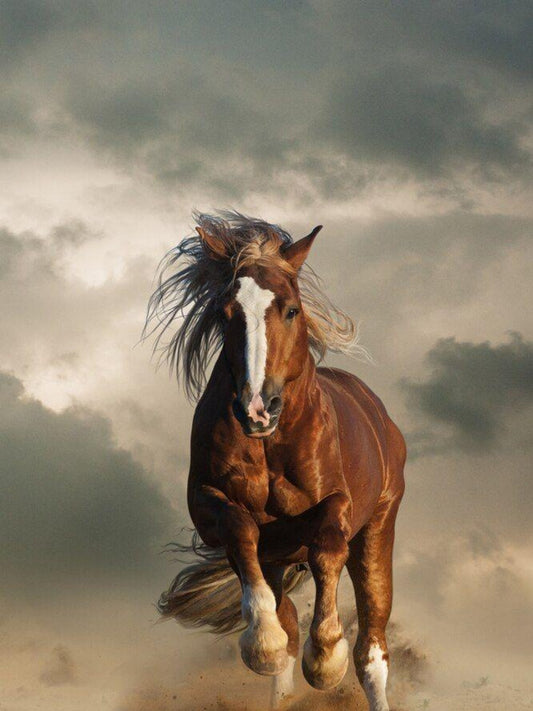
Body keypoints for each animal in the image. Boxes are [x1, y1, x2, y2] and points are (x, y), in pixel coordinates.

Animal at [146, 211, 406, 711]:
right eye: (225, 314)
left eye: (290, 309)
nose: (257, 408)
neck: (271, 444)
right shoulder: (210, 505)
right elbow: (240, 529)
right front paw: (261, 643)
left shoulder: (338, 506)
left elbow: (328, 546)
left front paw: (325, 659)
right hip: (278, 560)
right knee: (285, 625)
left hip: (378, 529)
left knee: (372, 652)